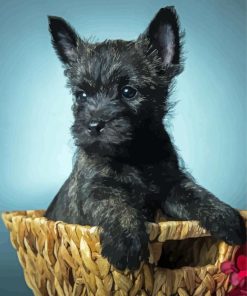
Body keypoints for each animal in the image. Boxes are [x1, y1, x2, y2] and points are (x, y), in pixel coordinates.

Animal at [45, 6, 246, 270]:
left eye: (128, 91)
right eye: (81, 95)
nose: (93, 125)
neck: (134, 155)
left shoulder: (172, 184)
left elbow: (196, 193)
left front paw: (225, 215)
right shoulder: (97, 188)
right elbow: (117, 206)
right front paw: (125, 242)